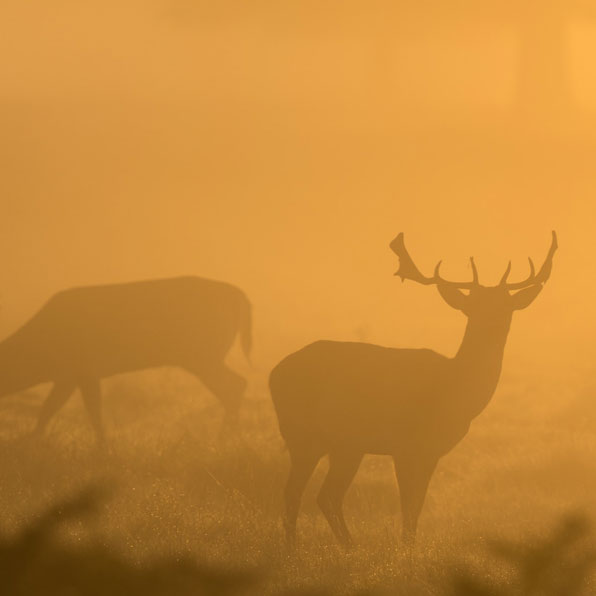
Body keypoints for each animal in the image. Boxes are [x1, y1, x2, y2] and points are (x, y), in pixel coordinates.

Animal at [0, 278, 251, 444]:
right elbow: (51, 408)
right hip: (204, 356)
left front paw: (102, 447)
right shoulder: (70, 375)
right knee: (236, 384)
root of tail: (240, 297)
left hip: (202, 354)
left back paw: (223, 439)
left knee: (235, 384)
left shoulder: (83, 368)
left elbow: (85, 409)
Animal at [270, 230, 560, 548]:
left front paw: (409, 546)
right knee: (297, 492)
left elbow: (418, 505)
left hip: (344, 445)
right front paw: (406, 549)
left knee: (325, 495)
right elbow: (408, 505)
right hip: (305, 435)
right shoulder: (405, 444)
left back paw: (346, 546)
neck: (455, 392)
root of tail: (274, 374)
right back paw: (298, 546)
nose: (493, 324)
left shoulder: (431, 451)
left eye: (506, 306)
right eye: (472, 306)